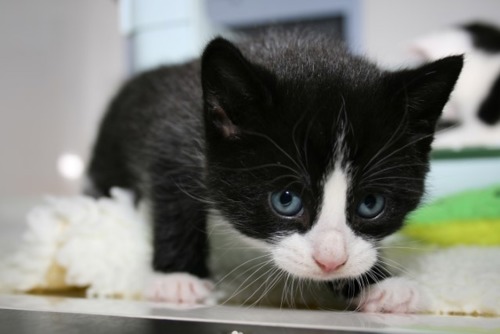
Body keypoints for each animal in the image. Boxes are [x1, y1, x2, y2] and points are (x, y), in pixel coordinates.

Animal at [85, 30, 460, 312]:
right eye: (286, 199)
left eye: (371, 204)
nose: (330, 262)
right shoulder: (173, 135)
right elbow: (173, 198)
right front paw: (177, 278)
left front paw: (380, 284)